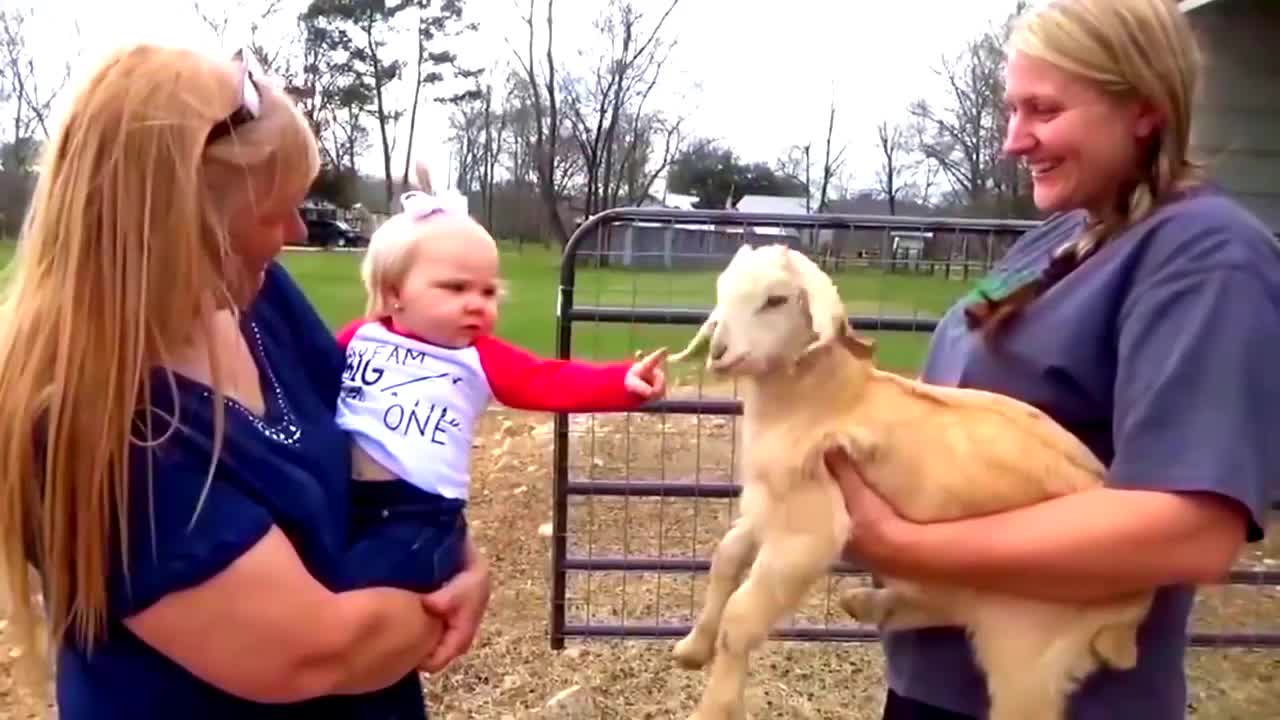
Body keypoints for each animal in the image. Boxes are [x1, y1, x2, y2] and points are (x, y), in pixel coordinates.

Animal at [665, 243, 1157, 717]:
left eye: (777, 300)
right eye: (723, 291)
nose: (719, 353)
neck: (827, 400)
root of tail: (1132, 611)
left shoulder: (808, 528)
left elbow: (741, 617)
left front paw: (713, 709)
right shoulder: (767, 504)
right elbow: (726, 559)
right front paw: (692, 648)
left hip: (1030, 646)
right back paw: (870, 604)